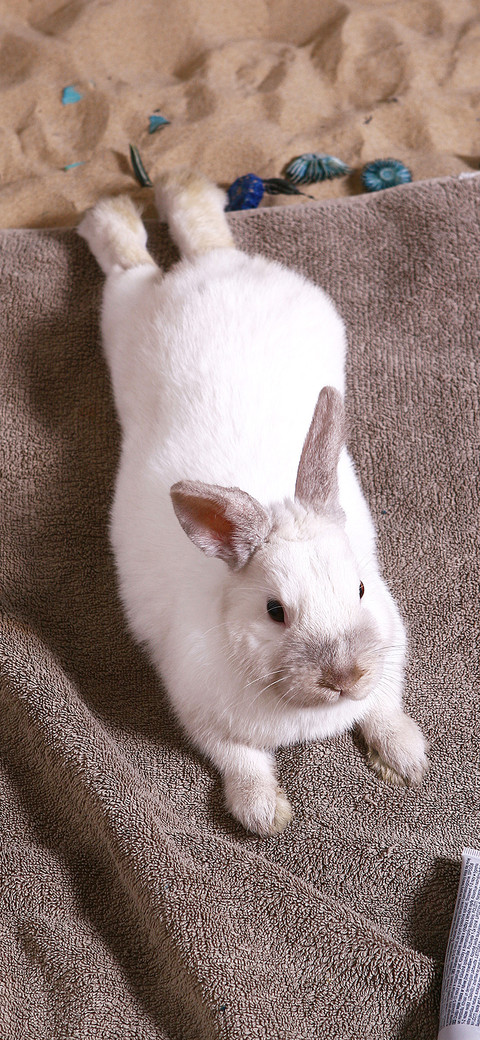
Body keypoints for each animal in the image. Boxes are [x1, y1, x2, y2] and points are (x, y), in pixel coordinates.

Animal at [77, 169, 428, 836]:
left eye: (360, 588)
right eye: (274, 611)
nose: (344, 677)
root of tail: (210, 268)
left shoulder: (387, 658)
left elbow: (385, 709)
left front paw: (406, 760)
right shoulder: (203, 717)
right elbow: (242, 762)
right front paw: (266, 817)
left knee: (184, 236)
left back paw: (183, 194)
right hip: (124, 316)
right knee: (131, 263)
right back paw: (114, 213)